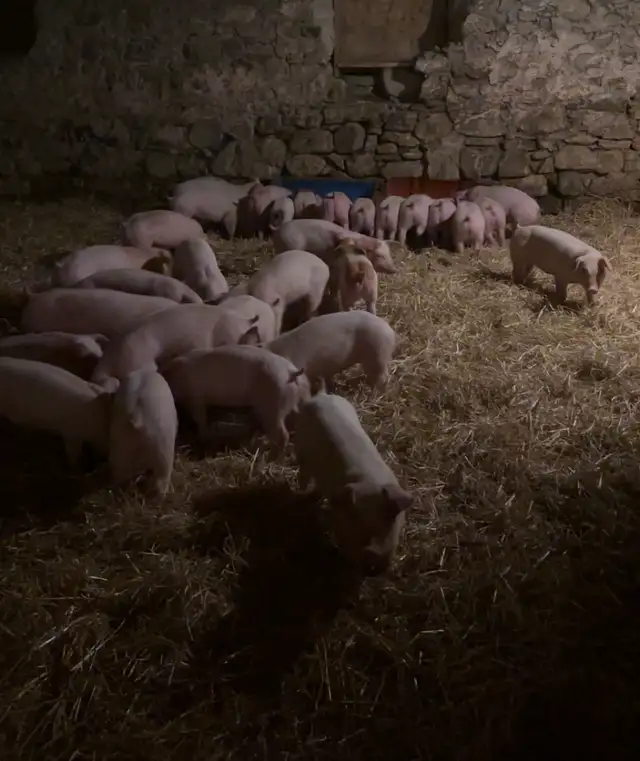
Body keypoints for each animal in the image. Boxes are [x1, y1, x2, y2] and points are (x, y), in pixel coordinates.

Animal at [163, 345, 311, 449]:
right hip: (301, 398)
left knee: (282, 436)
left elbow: (200, 419)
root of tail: (292, 373)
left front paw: (202, 438)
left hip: (273, 406)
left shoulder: (196, 398)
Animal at [293, 391, 414, 574]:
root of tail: (321, 395)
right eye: (362, 533)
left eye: (391, 527)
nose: (377, 569)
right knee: (303, 467)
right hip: (300, 443)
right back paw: (302, 490)